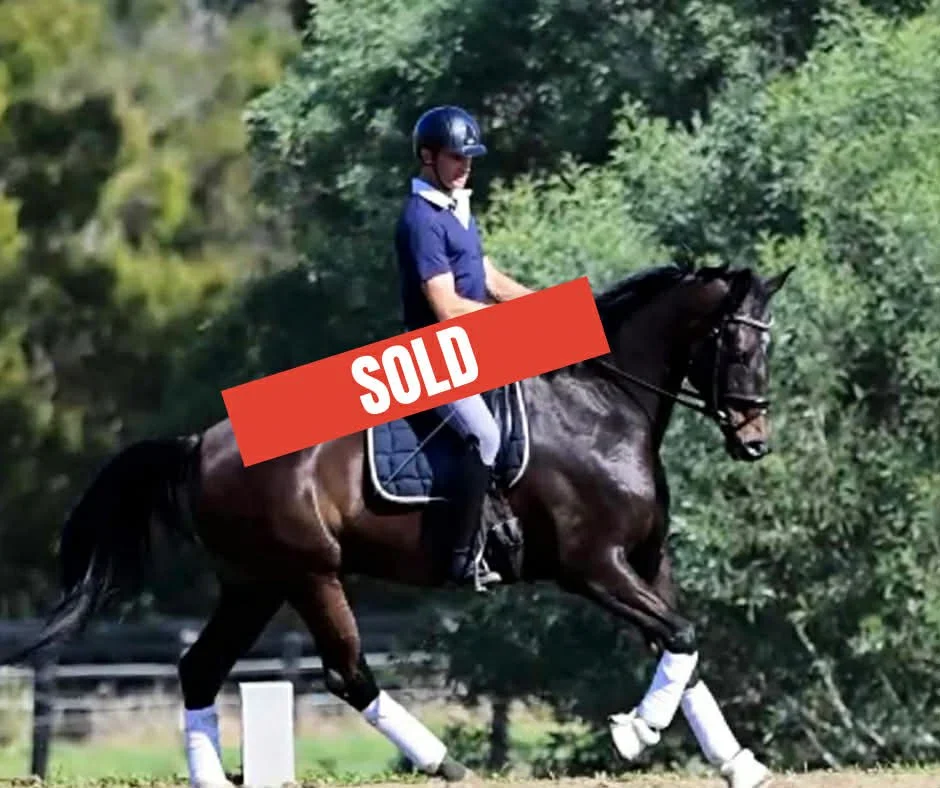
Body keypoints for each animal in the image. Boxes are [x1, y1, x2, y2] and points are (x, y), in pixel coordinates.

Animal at [5, 260, 793, 788]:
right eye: (736, 345)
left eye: (768, 345)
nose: (755, 440)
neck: (602, 404)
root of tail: (203, 443)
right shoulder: (593, 566)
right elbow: (679, 638)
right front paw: (636, 733)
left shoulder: (647, 560)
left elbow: (683, 650)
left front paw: (736, 762)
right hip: (308, 574)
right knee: (347, 672)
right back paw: (448, 765)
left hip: (254, 582)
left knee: (200, 668)